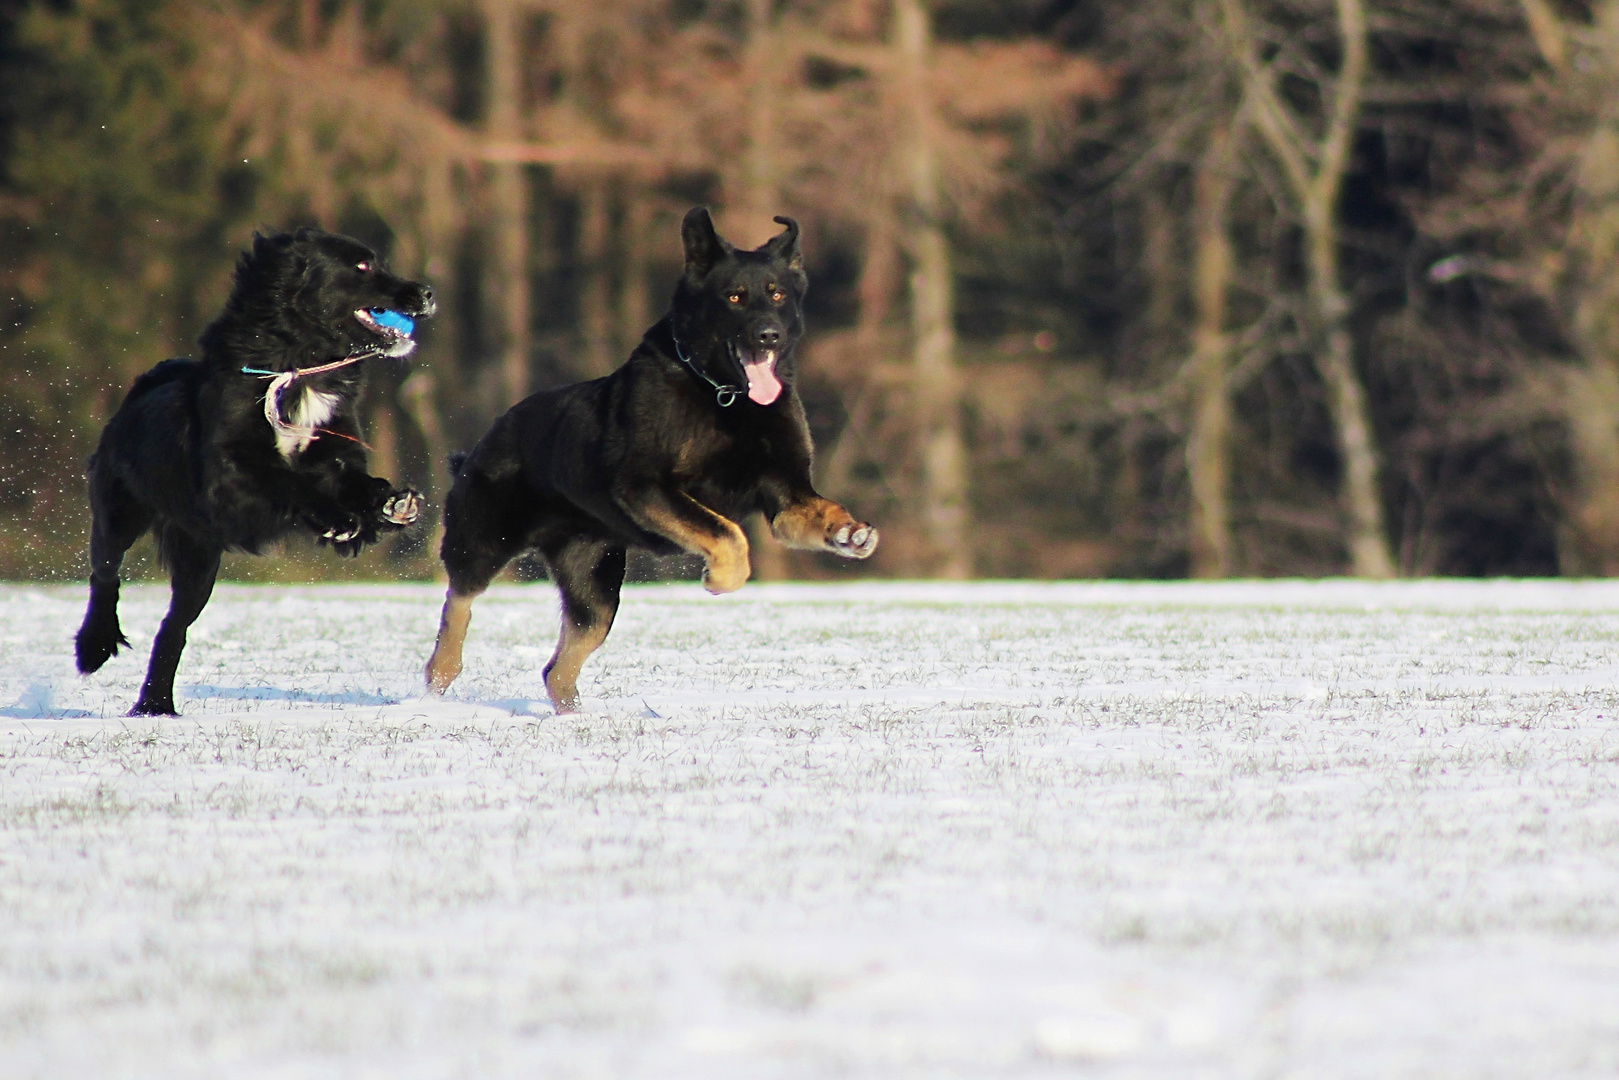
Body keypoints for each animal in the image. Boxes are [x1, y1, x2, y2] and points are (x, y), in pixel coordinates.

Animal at [75, 228, 433, 718]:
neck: (298, 364)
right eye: (362, 266)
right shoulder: (228, 477)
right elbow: (286, 480)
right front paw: (339, 520)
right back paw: (93, 645)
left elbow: (354, 481)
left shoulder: (336, 451)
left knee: (172, 628)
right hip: (119, 511)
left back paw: (155, 705)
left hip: (199, 558)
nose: (427, 292)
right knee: (105, 574)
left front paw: (390, 504)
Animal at [424, 208, 874, 709]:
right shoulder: (644, 485)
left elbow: (816, 510)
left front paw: (850, 534)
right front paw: (720, 578)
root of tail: (484, 441)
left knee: (557, 668)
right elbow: (729, 534)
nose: (769, 334)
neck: (724, 395)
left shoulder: (785, 494)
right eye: (735, 296)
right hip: (487, 539)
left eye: (777, 293)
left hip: (595, 586)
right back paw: (440, 676)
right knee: (459, 599)